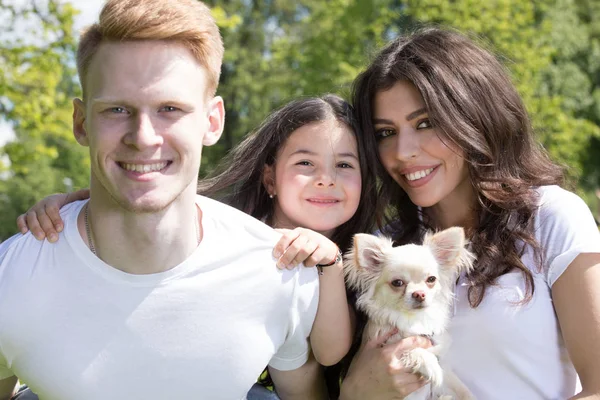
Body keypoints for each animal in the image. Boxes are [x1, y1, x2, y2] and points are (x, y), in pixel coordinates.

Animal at [344, 227, 476, 398]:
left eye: (431, 279)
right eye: (397, 283)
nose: (419, 294)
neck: (414, 320)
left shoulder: (445, 367)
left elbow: (461, 390)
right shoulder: (388, 348)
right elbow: (411, 350)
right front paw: (429, 364)